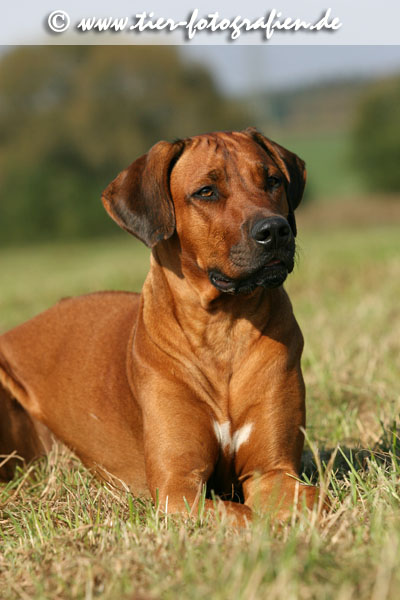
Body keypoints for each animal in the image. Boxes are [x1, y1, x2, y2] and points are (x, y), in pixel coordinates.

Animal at [0, 129, 324, 524]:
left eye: (273, 180)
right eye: (206, 191)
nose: (276, 230)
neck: (223, 327)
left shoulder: (273, 471)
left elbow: (312, 499)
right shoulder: (178, 487)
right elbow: (239, 515)